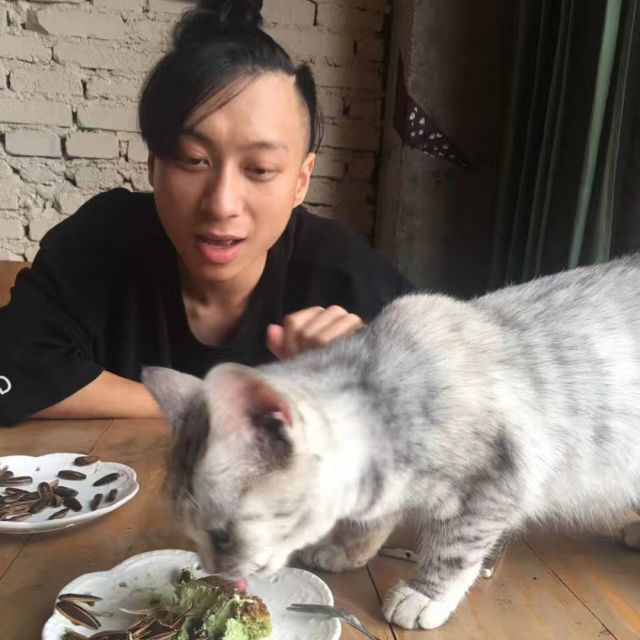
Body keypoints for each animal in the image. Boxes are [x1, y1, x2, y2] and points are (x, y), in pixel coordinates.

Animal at [143, 255, 640, 630]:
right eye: (191, 531)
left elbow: (456, 547)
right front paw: (348, 550)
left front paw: (425, 594)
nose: (215, 573)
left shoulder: (497, 480)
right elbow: (370, 521)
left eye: (224, 535)